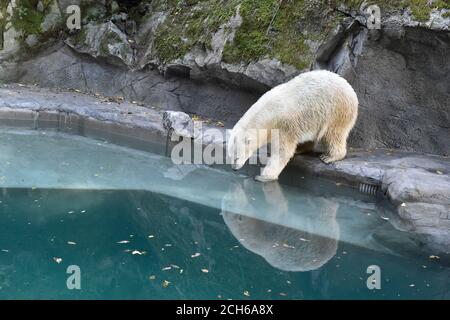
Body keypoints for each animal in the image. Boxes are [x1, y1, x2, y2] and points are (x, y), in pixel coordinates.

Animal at [229, 69, 358, 181]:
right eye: (229, 156)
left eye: (236, 157)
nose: (234, 169)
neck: (269, 111)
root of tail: (350, 89)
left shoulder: (284, 124)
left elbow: (282, 151)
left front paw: (264, 176)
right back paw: (300, 149)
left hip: (336, 111)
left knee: (333, 134)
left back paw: (329, 157)